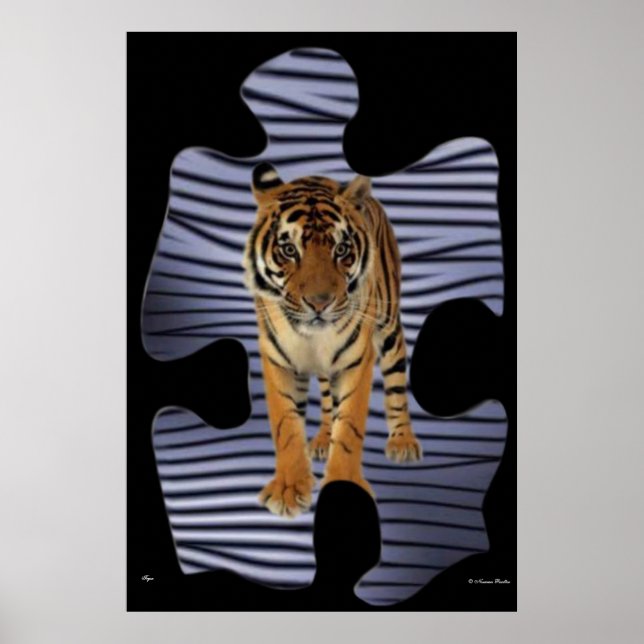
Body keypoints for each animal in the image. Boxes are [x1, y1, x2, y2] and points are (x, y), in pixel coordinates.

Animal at [243, 162, 422, 518]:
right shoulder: (277, 360)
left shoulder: (357, 360)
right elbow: (286, 426)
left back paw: (402, 442)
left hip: (388, 324)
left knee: (395, 380)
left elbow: (350, 426)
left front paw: (344, 490)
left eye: (341, 250)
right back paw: (324, 440)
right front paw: (288, 490)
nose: (319, 303)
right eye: (289, 250)